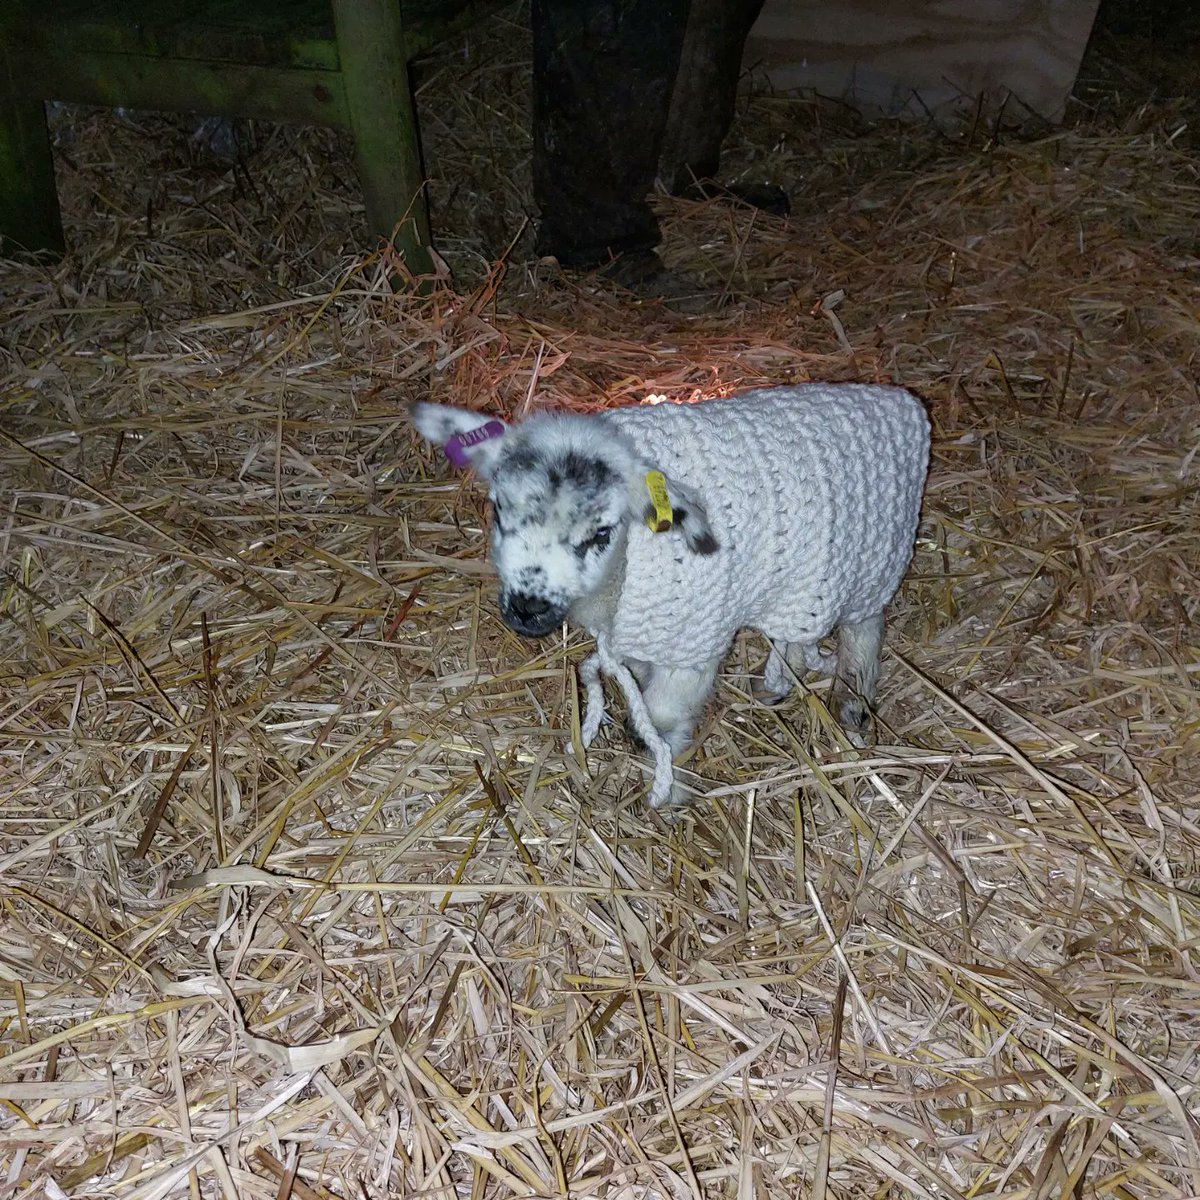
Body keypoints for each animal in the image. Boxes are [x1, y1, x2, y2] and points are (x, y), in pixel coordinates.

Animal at [412, 383, 930, 808]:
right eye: (499, 511)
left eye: (601, 532)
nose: (527, 609)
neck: (625, 568)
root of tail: (900, 400)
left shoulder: (693, 642)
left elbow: (658, 719)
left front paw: (668, 785)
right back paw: (778, 682)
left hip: (871, 567)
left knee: (864, 631)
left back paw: (852, 702)